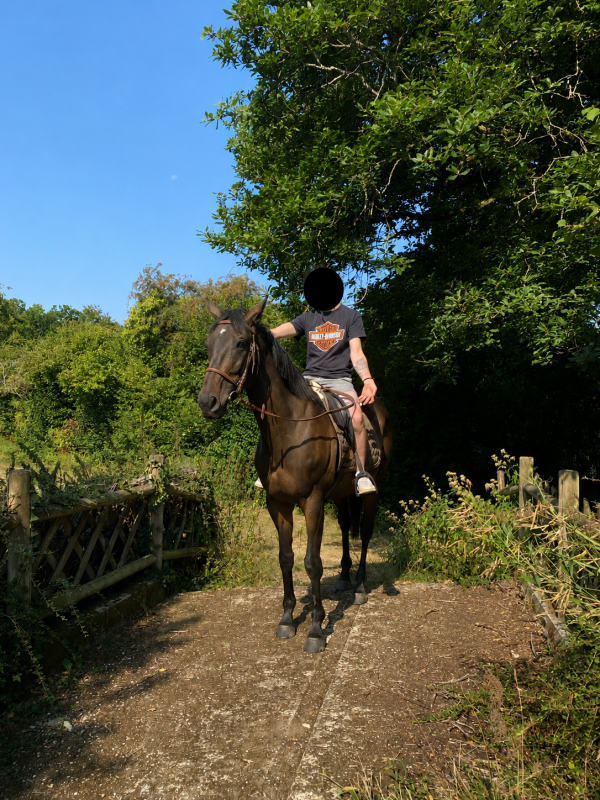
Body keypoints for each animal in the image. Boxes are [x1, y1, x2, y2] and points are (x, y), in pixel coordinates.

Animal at [198, 298, 393, 653]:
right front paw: (288, 618)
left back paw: (359, 587)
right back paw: (343, 579)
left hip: (373, 489)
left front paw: (316, 628)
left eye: (241, 343)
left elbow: (312, 562)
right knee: (346, 527)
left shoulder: (312, 502)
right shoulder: (278, 504)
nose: (208, 401)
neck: (288, 430)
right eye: (208, 344)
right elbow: (286, 558)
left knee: (366, 531)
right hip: (340, 494)